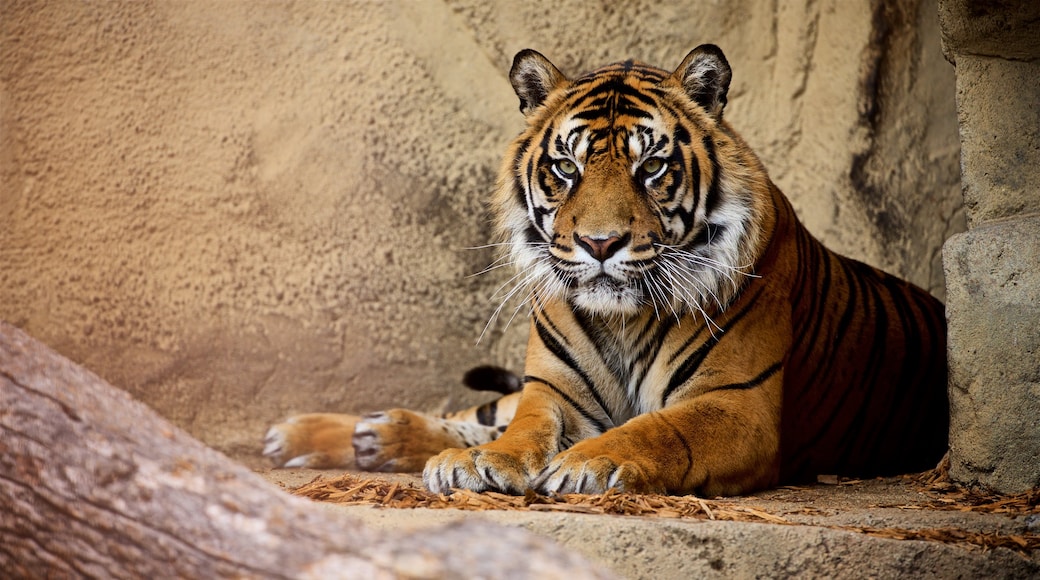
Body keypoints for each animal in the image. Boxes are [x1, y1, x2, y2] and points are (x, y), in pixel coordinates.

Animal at [262, 46, 952, 501]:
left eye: (652, 167)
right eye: (566, 168)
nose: (599, 243)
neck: (623, 319)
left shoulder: (736, 405)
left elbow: (659, 428)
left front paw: (587, 464)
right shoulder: (552, 391)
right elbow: (522, 429)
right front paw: (481, 463)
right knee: (478, 411)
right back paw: (320, 435)